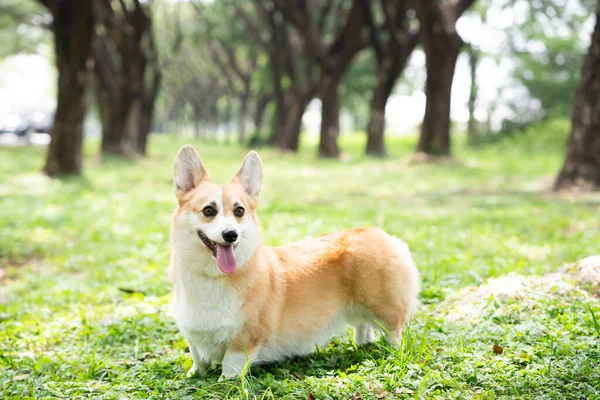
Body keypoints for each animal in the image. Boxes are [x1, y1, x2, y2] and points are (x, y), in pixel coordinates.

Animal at [169, 145, 420, 380]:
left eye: (239, 211)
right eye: (208, 210)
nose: (231, 235)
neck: (211, 277)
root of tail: (384, 235)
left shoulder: (243, 341)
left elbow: (230, 369)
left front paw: (224, 383)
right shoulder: (193, 338)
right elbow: (198, 360)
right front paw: (194, 374)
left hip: (386, 310)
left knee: (394, 332)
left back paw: (391, 352)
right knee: (363, 325)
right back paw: (362, 344)